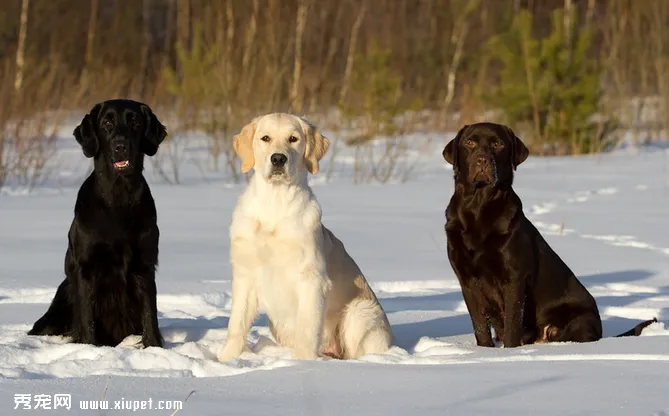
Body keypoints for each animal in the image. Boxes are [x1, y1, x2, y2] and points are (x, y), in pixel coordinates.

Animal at [29, 98, 167, 348]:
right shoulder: (86, 267)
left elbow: (149, 313)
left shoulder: (145, 263)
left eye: (135, 122)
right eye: (107, 123)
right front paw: (89, 348)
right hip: (62, 297)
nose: (120, 146)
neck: (118, 198)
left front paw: (154, 347)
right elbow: (87, 318)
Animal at [440, 122, 656, 348]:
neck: (478, 208)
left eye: (498, 144)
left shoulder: (514, 279)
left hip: (579, 320)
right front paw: (485, 352)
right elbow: (480, 327)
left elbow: (512, 326)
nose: (482, 159)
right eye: (470, 143)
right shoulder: (467, 280)